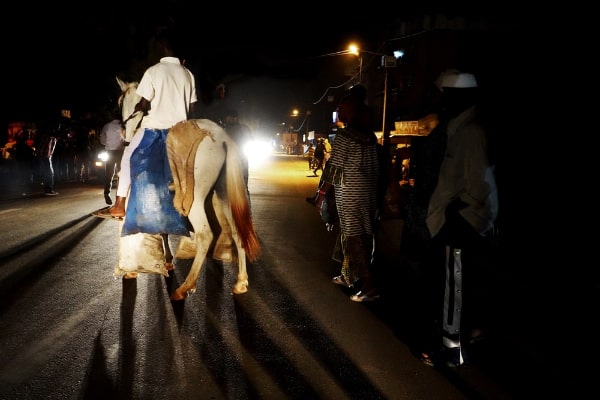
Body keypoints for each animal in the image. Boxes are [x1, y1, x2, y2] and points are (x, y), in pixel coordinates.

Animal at [115, 76, 260, 300]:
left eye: (121, 102)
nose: (125, 136)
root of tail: (223, 138)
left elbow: (161, 229)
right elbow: (164, 230)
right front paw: (167, 260)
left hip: (195, 200)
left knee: (205, 235)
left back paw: (185, 287)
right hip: (224, 194)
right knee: (237, 231)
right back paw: (241, 282)